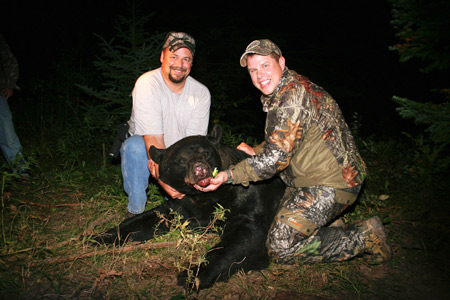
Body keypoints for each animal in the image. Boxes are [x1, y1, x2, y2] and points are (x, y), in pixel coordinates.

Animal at [92, 125, 284, 290]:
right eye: (181, 160)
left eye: (206, 153)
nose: (200, 169)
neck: (202, 197)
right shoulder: (180, 205)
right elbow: (146, 220)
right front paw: (98, 237)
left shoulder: (248, 200)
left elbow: (245, 238)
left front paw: (192, 274)